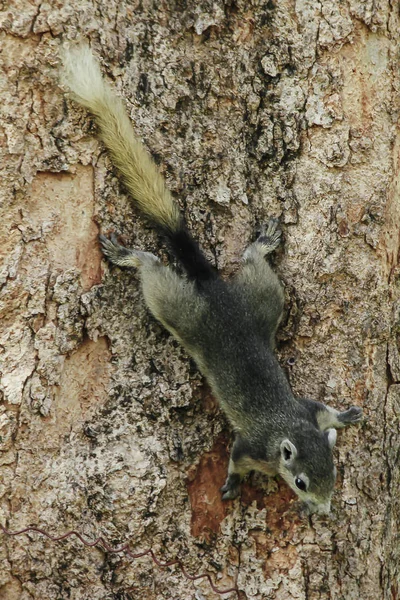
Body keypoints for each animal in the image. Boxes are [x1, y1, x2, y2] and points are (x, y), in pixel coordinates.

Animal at [61, 45, 362, 516]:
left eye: (334, 473)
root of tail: (215, 289)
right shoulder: (250, 446)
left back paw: (262, 243)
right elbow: (237, 461)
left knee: (253, 266)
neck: (288, 428)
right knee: (153, 270)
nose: (323, 510)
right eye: (299, 482)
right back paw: (130, 256)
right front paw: (234, 484)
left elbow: (325, 411)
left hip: (264, 300)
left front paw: (344, 416)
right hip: (178, 309)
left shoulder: (308, 411)